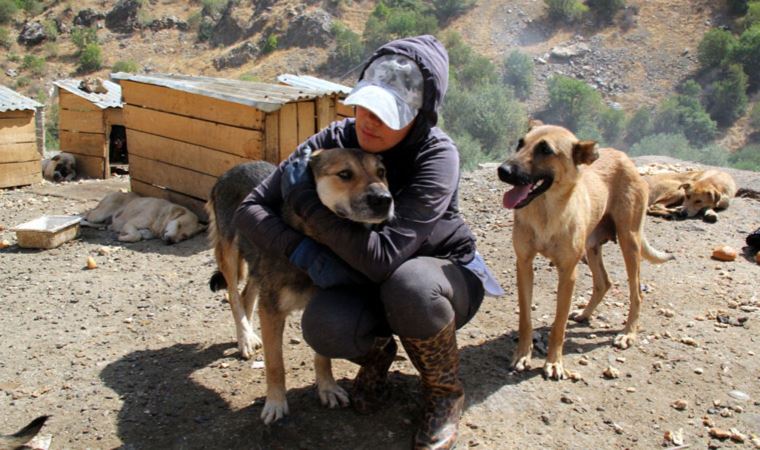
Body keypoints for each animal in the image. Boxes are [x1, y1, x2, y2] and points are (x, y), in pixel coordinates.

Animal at [208, 149, 394, 426]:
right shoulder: (272, 311)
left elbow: (322, 356)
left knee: (246, 294)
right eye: (345, 174)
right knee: (233, 295)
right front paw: (275, 403)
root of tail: (231, 170)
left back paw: (249, 335)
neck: (317, 240)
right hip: (230, 255)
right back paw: (244, 338)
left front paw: (327, 388)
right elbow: (276, 364)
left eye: (381, 172)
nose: (384, 200)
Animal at [502, 122, 672, 380]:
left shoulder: (568, 273)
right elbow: (525, 318)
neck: (546, 213)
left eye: (545, 150)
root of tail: (624, 157)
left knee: (636, 293)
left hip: (629, 241)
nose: (502, 170)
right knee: (604, 282)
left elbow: (559, 324)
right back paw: (585, 314)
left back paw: (628, 333)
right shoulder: (524, 264)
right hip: (591, 247)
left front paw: (554, 362)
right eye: (520, 143)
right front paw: (522, 356)